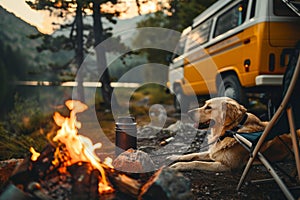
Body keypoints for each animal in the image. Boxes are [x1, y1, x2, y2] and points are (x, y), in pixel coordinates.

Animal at [168, 97, 296, 172]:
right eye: (205, 104)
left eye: (209, 107)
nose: (188, 112)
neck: (230, 131)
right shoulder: (214, 153)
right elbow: (193, 155)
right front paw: (175, 156)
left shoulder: (226, 165)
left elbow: (197, 162)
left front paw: (178, 166)